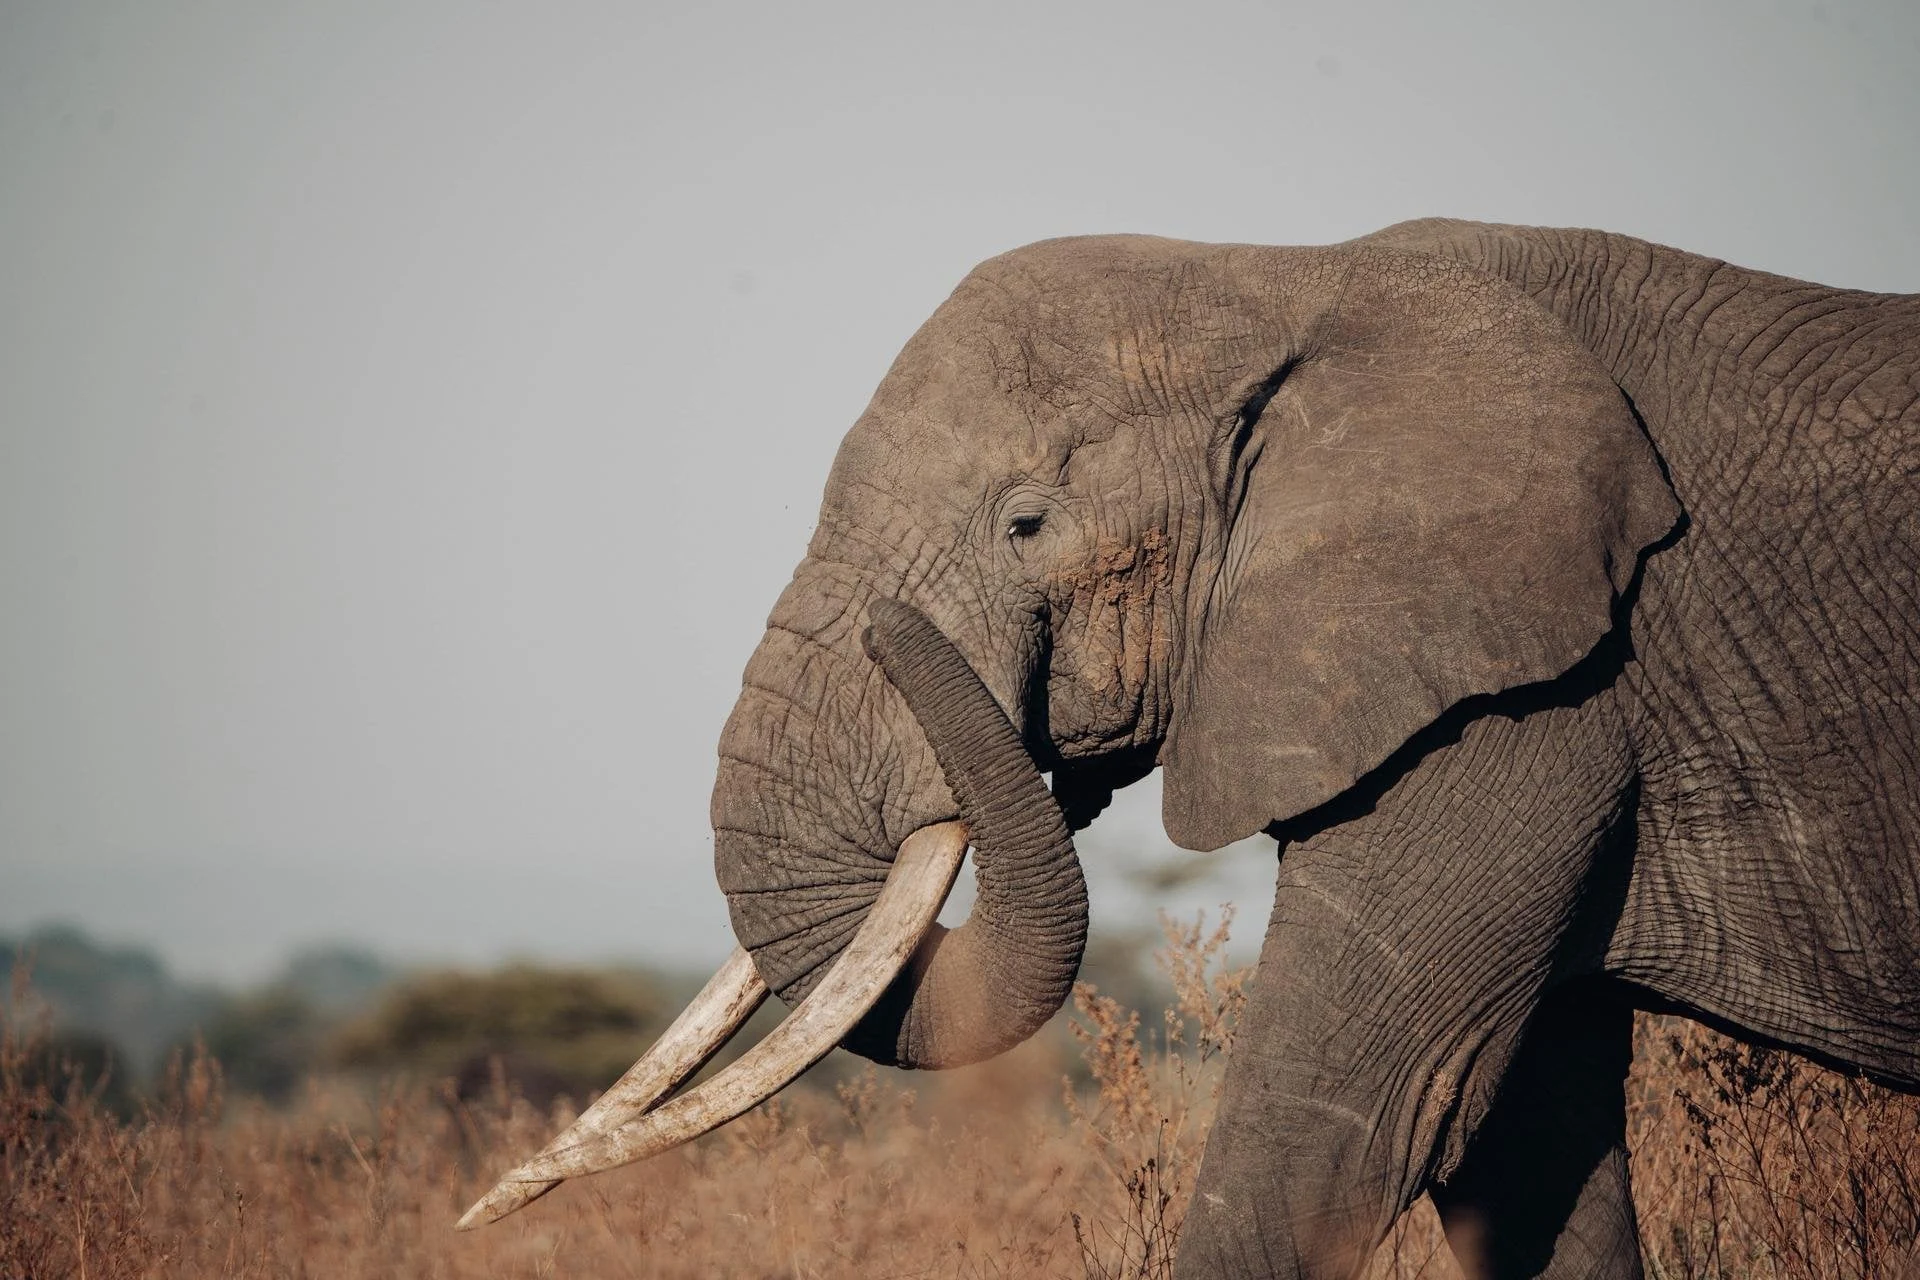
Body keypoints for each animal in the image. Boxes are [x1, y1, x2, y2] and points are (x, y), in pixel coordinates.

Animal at [463, 220, 1920, 1279]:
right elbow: (1517, 1145)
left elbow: (1347, 1127)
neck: (1292, 280)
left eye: (1028, 524)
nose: (897, 633)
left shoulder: (1535, 696)